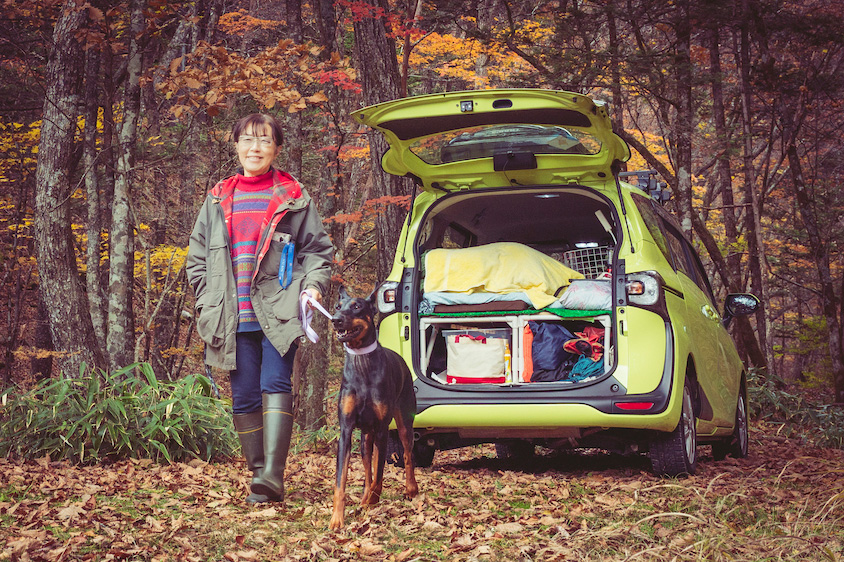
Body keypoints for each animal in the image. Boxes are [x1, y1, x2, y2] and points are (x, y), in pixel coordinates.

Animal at [332, 286, 420, 528]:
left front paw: (372, 501)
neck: (362, 362)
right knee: (367, 469)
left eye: (357, 306)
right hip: (364, 438)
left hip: (403, 423)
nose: (335, 319)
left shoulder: (382, 429)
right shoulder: (346, 430)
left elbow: (380, 475)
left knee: (407, 454)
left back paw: (411, 489)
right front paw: (337, 519)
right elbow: (342, 480)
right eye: (337, 306)